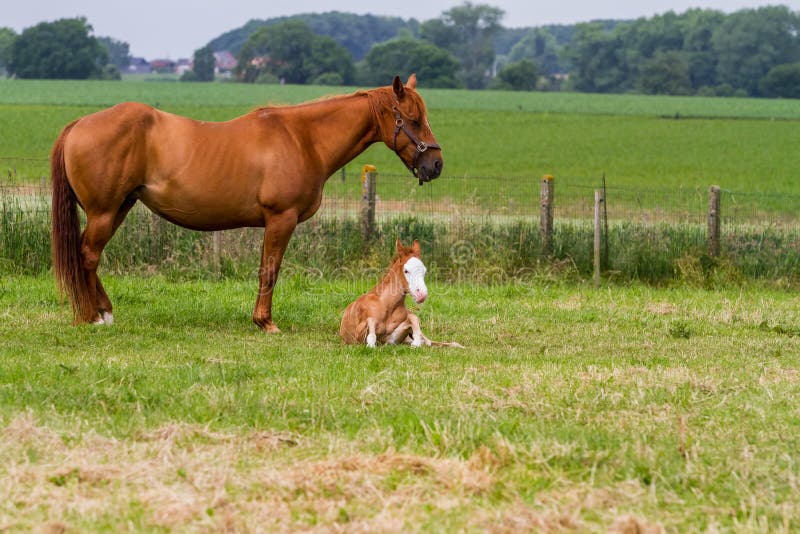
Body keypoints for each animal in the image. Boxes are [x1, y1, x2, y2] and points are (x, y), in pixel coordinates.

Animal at [54, 75, 444, 330]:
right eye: (412, 120)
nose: (436, 164)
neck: (303, 139)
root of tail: (79, 123)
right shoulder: (280, 219)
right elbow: (269, 269)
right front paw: (265, 322)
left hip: (120, 207)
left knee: (89, 256)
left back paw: (104, 312)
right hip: (105, 212)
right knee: (87, 256)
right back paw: (91, 315)